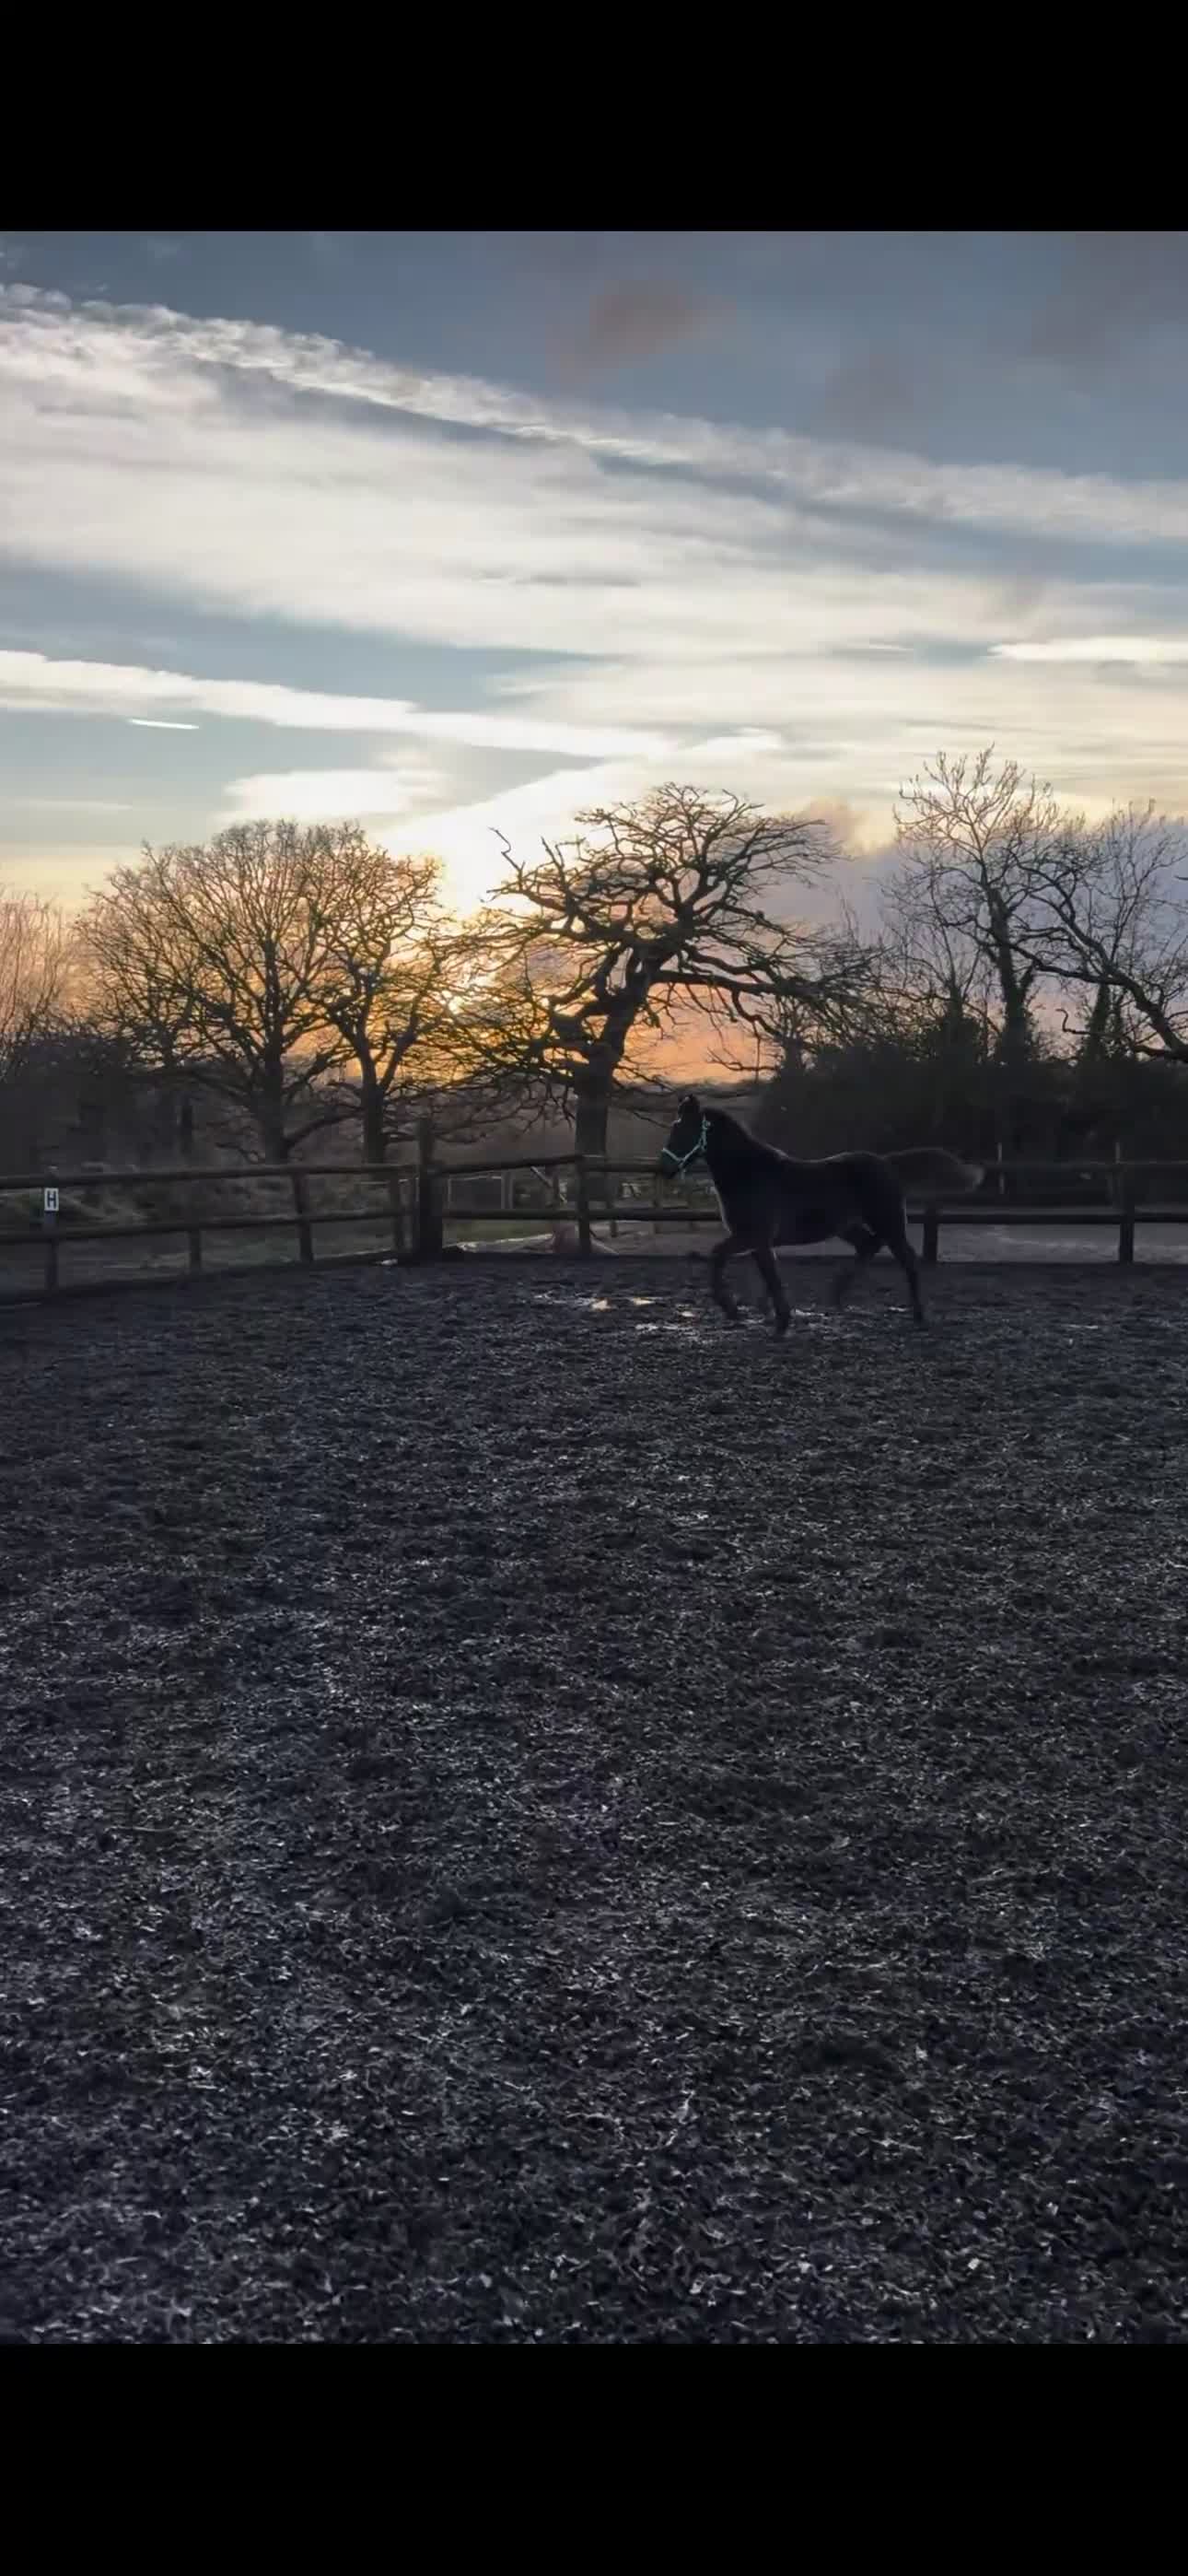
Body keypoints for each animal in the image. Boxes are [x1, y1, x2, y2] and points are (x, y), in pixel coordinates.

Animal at [659, 1094, 983, 1333]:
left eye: (684, 1130)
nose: (664, 1169)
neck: (750, 1173)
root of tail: (887, 1163)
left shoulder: (754, 1235)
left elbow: (738, 1263)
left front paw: (763, 1316)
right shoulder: (754, 1239)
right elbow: (760, 1271)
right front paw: (756, 1311)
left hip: (888, 1222)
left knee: (907, 1259)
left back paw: (918, 1314)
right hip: (848, 1225)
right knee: (869, 1245)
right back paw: (837, 1294)